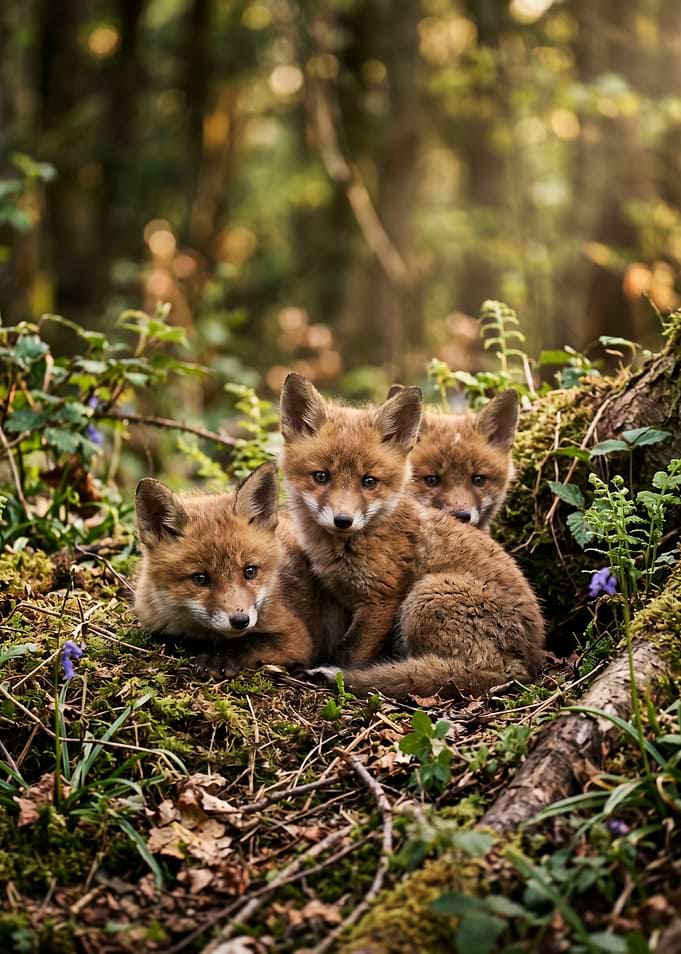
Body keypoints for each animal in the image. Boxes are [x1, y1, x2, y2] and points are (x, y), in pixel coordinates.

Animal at [134, 461, 320, 679]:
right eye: (200, 578)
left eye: (250, 571)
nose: (240, 621)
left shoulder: (297, 637)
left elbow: (251, 641)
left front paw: (219, 656)